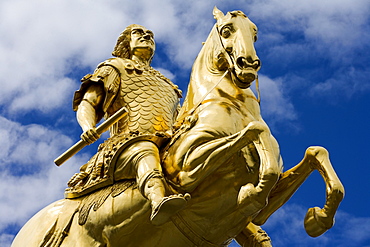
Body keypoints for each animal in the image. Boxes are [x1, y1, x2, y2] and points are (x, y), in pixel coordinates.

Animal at [12, 7, 346, 247]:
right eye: (227, 30)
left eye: (255, 32)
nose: (248, 65)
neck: (227, 104)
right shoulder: (186, 168)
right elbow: (252, 135)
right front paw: (251, 191)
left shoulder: (261, 212)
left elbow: (316, 153)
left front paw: (318, 218)